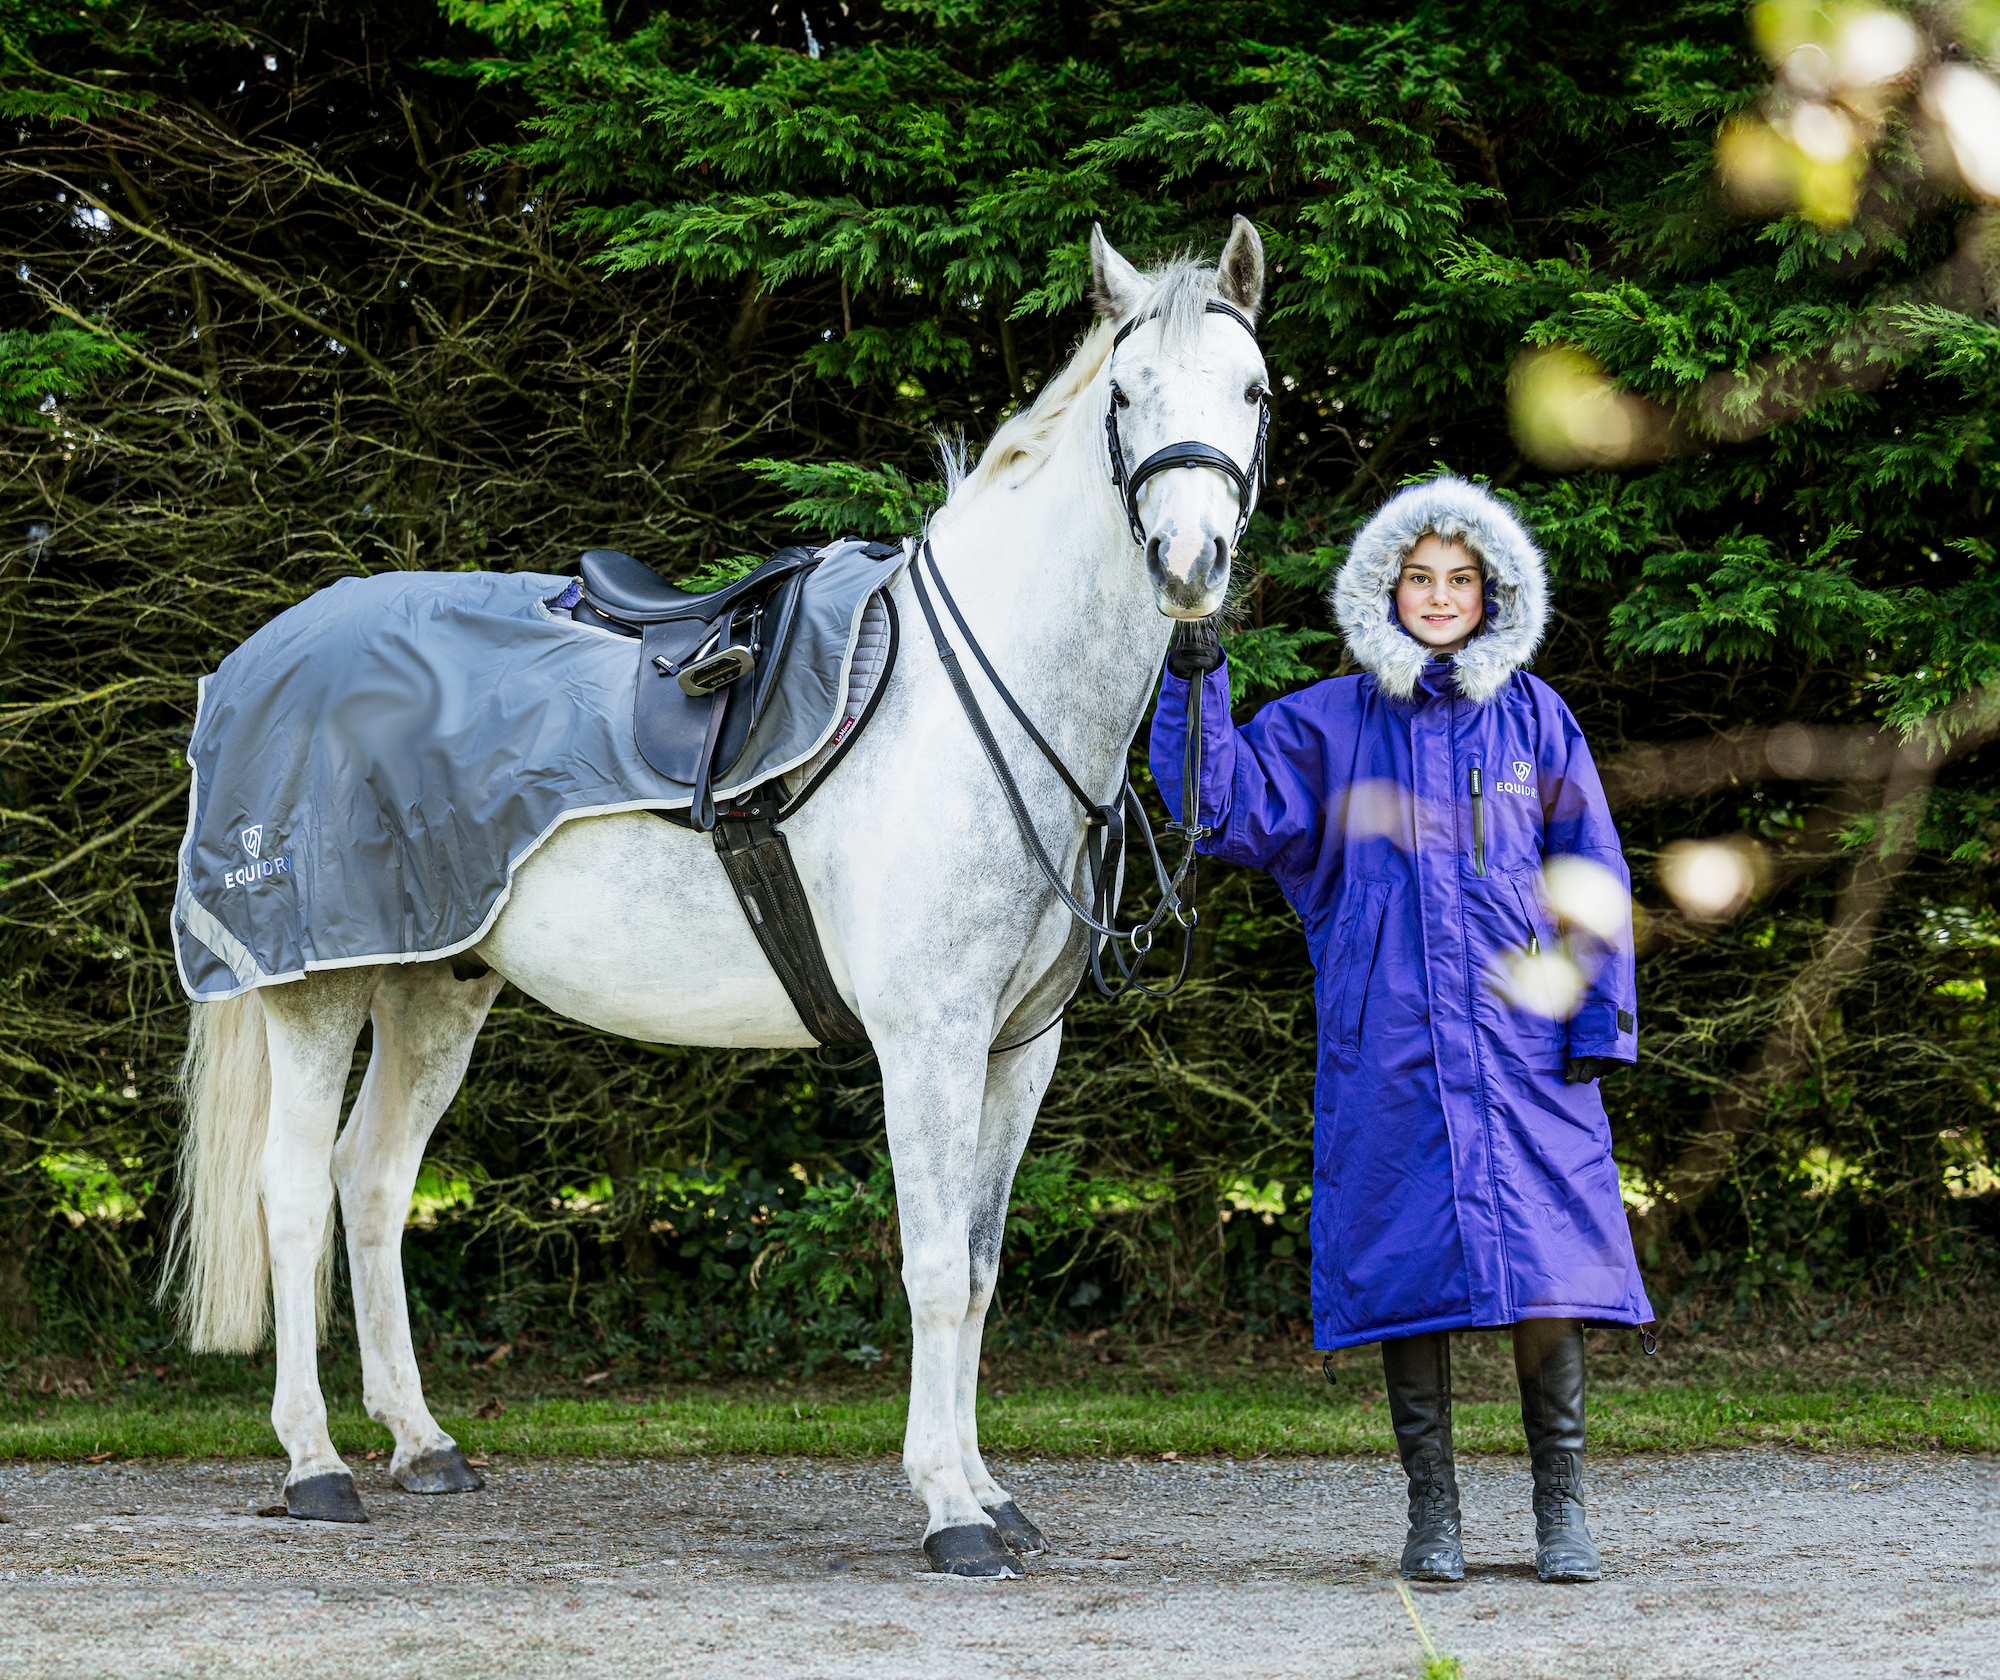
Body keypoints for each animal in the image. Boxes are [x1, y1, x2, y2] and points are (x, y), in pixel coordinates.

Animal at [168, 217, 1264, 1568]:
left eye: (1253, 392)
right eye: (1125, 393)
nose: (1189, 563)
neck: (982, 700)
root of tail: (253, 662)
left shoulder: (1017, 1048)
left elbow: (977, 1270)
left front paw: (990, 1493)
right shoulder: (928, 1040)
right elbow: (930, 1270)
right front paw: (950, 1512)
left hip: (438, 985)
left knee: (367, 1181)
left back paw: (423, 1447)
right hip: (319, 988)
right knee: (289, 1194)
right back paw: (315, 1466)